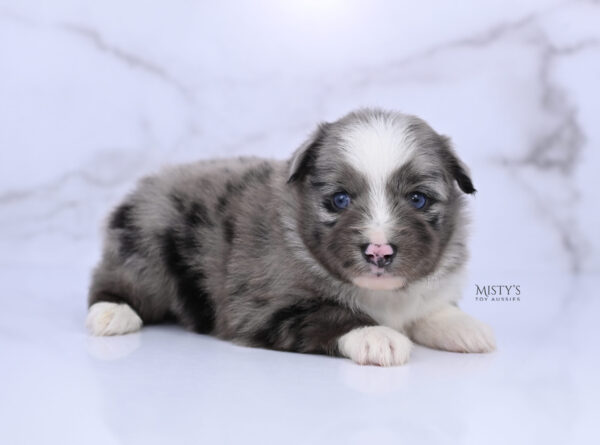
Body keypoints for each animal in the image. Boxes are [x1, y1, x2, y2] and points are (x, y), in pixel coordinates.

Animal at [85, 107, 496, 364]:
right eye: (339, 199)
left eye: (418, 199)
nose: (379, 252)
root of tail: (149, 183)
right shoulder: (264, 307)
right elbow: (330, 315)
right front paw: (377, 336)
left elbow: (430, 308)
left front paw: (464, 327)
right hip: (146, 247)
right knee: (113, 280)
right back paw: (111, 312)